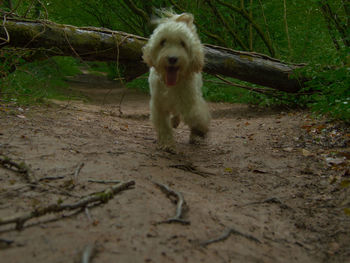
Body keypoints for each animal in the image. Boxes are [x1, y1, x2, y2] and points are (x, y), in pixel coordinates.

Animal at [142, 11, 211, 153]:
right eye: (163, 42)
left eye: (182, 43)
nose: (172, 58)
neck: (172, 84)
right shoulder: (158, 104)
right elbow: (163, 125)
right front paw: (168, 144)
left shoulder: (189, 99)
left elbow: (194, 114)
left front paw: (199, 129)